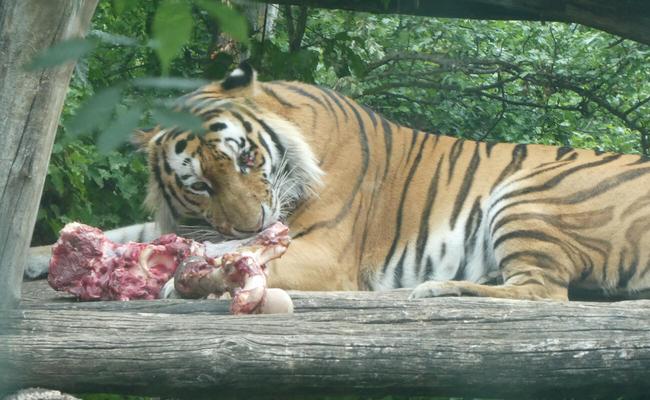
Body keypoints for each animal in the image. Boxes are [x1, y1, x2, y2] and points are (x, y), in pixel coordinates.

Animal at [27, 61, 650, 301]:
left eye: (247, 160)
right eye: (199, 185)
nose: (252, 224)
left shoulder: (324, 253)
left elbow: (228, 257)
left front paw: (188, 277)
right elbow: (134, 233)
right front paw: (42, 256)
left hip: (526, 194)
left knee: (544, 291)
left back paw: (436, 288)